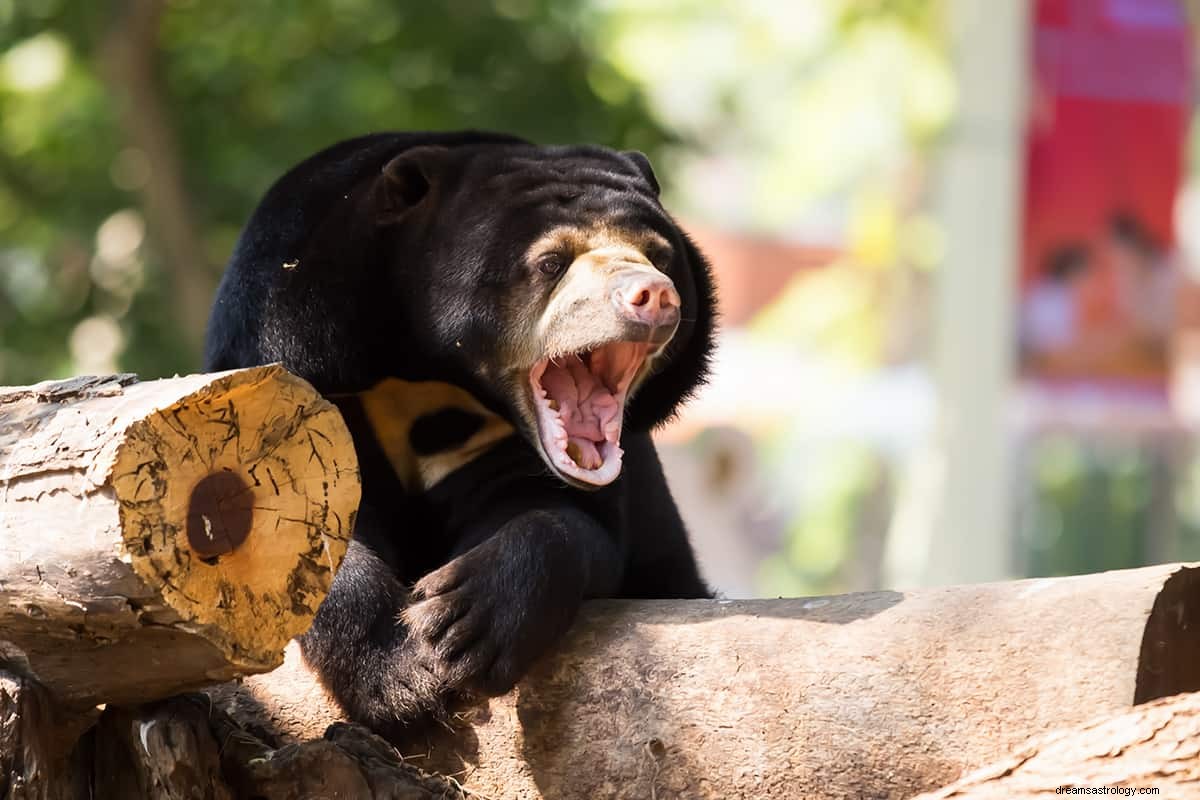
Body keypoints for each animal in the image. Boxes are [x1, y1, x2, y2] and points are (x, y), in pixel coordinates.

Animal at [204, 133, 720, 738]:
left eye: (661, 257)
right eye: (550, 262)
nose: (654, 295)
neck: (429, 371)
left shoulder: (505, 444)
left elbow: (568, 521)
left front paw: (462, 622)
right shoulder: (290, 347)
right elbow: (295, 526)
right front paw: (399, 679)